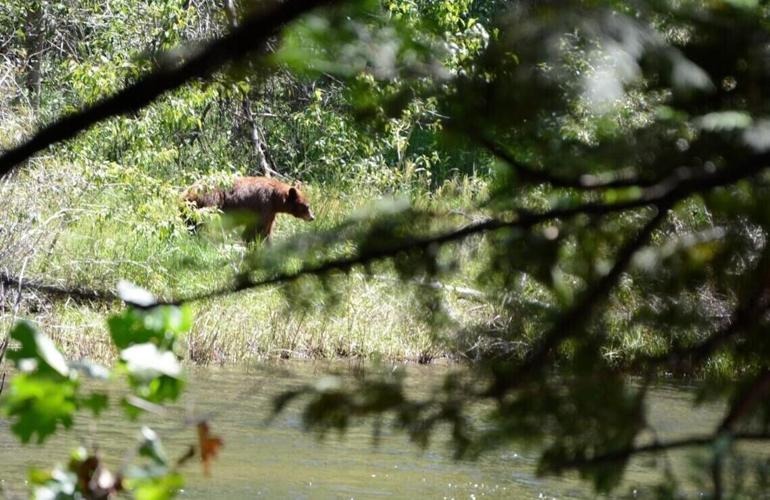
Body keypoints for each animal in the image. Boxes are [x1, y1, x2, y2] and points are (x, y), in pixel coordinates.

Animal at [181, 176, 314, 242]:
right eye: (306, 206)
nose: (312, 217)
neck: (275, 198)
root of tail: (185, 193)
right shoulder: (263, 206)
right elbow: (255, 229)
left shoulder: (270, 211)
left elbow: (266, 230)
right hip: (210, 203)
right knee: (205, 225)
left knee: (192, 226)